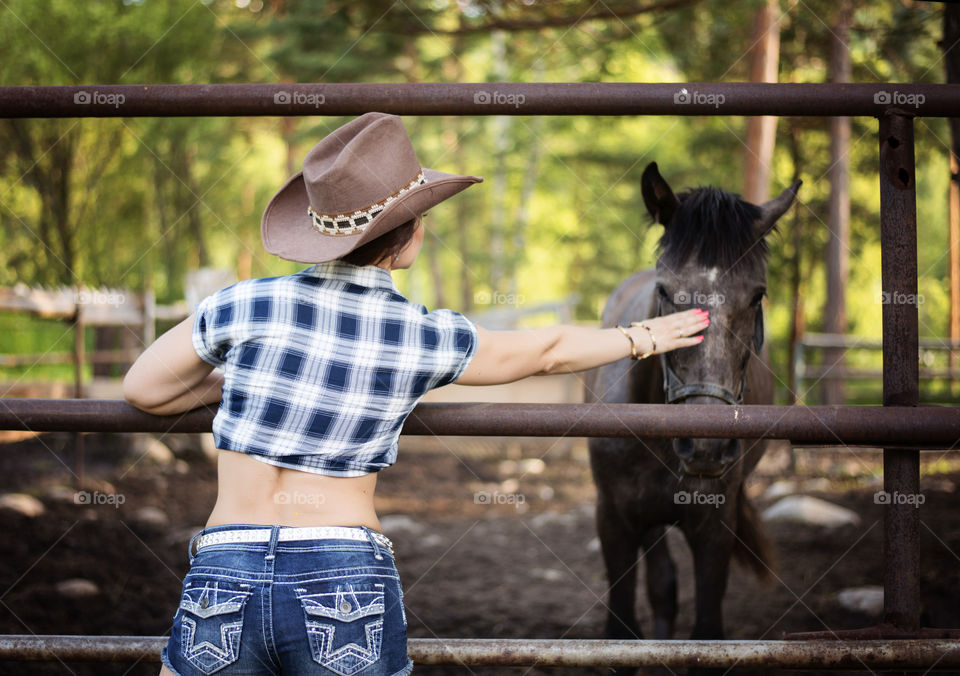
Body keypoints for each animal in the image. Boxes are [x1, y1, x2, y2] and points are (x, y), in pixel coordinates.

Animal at [584, 161, 804, 668]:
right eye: (666, 292)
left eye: (757, 296)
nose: (705, 445)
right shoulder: (615, 521)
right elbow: (623, 630)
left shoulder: (714, 529)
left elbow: (707, 631)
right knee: (662, 586)